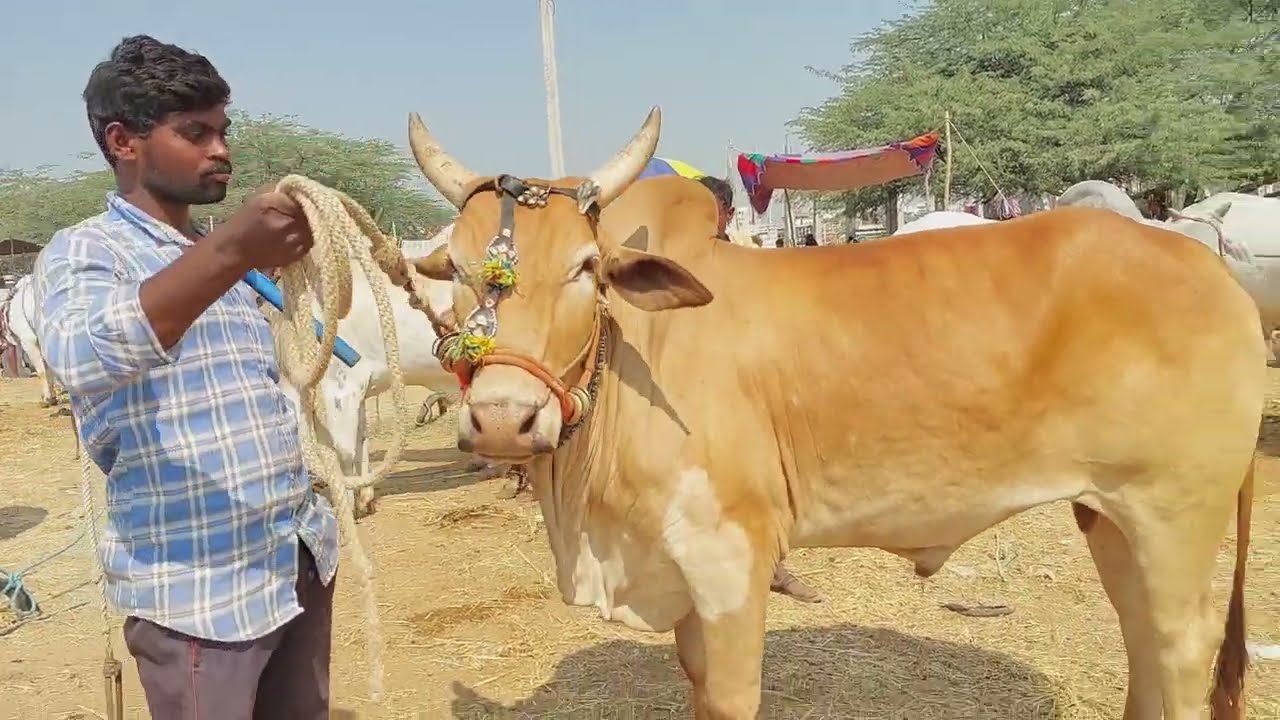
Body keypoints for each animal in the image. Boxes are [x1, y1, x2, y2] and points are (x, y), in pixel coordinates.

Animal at [404, 106, 1260, 719]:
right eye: (455, 267)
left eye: (586, 267)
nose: (504, 420)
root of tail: (1207, 266)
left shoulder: (729, 557)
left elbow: (730, 697)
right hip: (1110, 515)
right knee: (1140, 640)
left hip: (1176, 514)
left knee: (1182, 651)